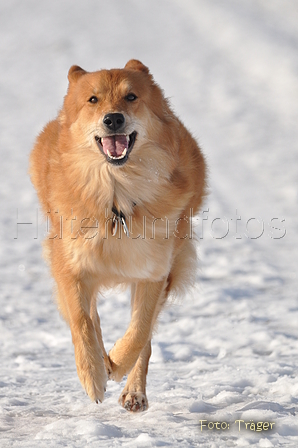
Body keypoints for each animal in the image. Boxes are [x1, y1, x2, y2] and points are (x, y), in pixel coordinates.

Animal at [30, 60, 207, 412]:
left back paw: (132, 390)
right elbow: (82, 322)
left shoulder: (155, 270)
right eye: (93, 100)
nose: (113, 119)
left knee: (145, 335)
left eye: (131, 97)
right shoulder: (70, 265)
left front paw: (116, 365)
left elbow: (139, 332)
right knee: (91, 318)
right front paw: (94, 374)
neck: (117, 197)